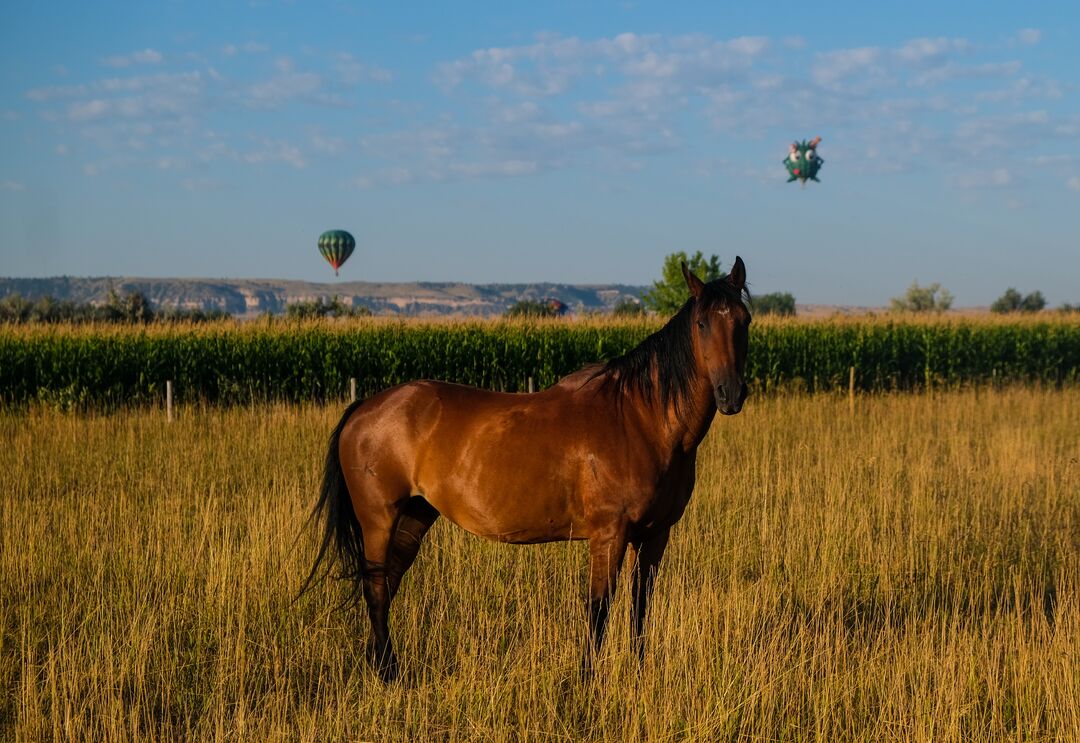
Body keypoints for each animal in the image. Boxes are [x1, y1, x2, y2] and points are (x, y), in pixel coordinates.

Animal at [304, 258, 751, 682]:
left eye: (744, 320)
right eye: (702, 323)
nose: (731, 394)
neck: (640, 418)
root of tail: (364, 406)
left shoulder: (656, 535)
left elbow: (640, 607)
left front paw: (638, 675)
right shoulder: (610, 535)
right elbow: (599, 608)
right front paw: (587, 681)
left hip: (415, 515)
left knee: (389, 583)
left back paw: (385, 666)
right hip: (378, 519)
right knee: (377, 589)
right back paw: (386, 673)